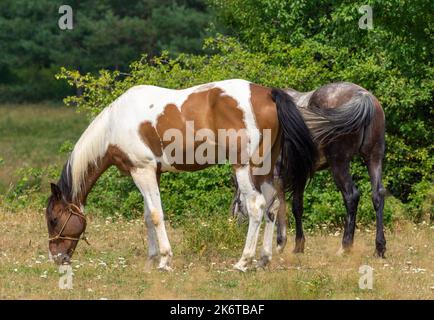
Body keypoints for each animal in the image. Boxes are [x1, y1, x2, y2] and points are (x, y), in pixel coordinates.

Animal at [45, 79, 318, 272]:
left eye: (54, 220)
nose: (56, 258)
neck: (115, 123)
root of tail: (268, 93)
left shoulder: (142, 170)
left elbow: (156, 216)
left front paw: (164, 260)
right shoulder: (151, 173)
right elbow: (147, 216)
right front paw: (151, 261)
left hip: (244, 168)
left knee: (257, 206)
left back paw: (243, 262)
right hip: (265, 169)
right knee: (272, 207)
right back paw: (263, 260)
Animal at [231, 82, 386, 258]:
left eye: (238, 190)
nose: (234, 219)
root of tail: (363, 96)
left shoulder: (278, 177)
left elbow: (278, 206)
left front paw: (280, 243)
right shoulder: (301, 174)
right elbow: (297, 206)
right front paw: (298, 245)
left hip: (339, 164)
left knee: (351, 197)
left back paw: (345, 246)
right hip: (374, 158)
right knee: (377, 195)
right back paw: (379, 248)